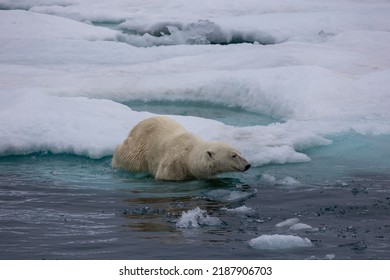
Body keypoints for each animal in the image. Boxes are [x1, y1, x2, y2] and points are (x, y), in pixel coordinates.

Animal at [111, 116, 251, 180]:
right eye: (233, 155)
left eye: (240, 152)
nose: (248, 165)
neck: (188, 156)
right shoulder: (173, 164)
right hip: (136, 150)